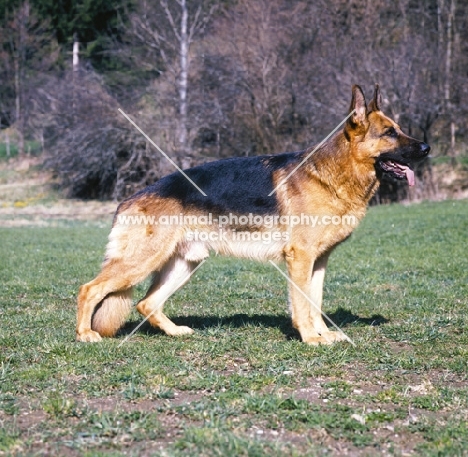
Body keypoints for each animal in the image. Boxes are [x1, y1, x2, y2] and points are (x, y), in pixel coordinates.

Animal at [77, 84, 432, 342]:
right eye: (389, 133)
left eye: (399, 129)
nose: (427, 148)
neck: (334, 173)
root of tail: (128, 200)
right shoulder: (300, 258)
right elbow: (302, 304)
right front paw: (311, 339)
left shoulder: (319, 261)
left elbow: (315, 302)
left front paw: (324, 335)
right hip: (141, 262)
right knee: (89, 289)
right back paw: (85, 334)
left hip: (185, 263)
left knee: (146, 302)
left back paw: (175, 332)